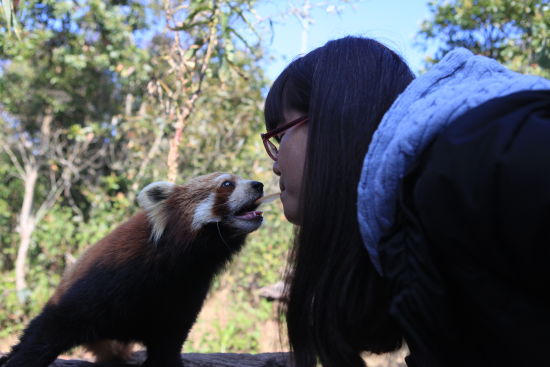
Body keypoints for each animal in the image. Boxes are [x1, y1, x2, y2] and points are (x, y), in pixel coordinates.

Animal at [0, 173, 266, 367]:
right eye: (227, 184)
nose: (258, 184)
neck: (178, 264)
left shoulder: (186, 293)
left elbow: (169, 339)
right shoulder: (106, 278)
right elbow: (51, 328)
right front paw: (20, 359)